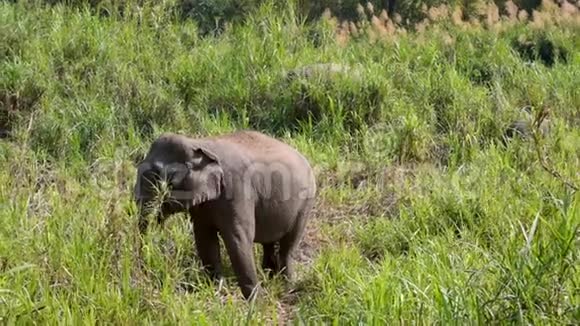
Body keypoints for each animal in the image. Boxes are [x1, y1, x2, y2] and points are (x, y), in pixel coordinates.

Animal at [134, 129, 318, 300]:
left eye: (162, 178)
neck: (199, 143)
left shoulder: (237, 189)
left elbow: (238, 239)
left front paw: (255, 301)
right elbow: (204, 238)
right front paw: (215, 288)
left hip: (305, 203)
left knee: (288, 246)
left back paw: (287, 285)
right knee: (269, 242)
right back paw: (270, 277)